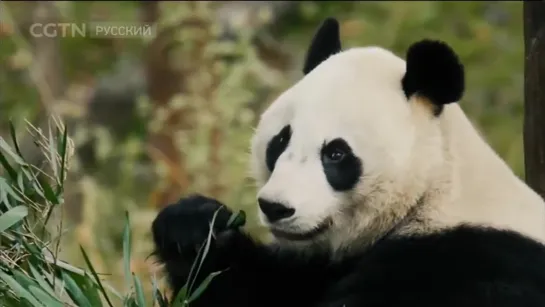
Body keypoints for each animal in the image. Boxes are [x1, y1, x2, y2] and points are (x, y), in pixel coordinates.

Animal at [151, 17, 544, 307]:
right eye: (280, 141)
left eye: (336, 154)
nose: (276, 207)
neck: (433, 193)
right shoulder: (315, 265)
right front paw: (194, 227)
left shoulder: (464, 262)